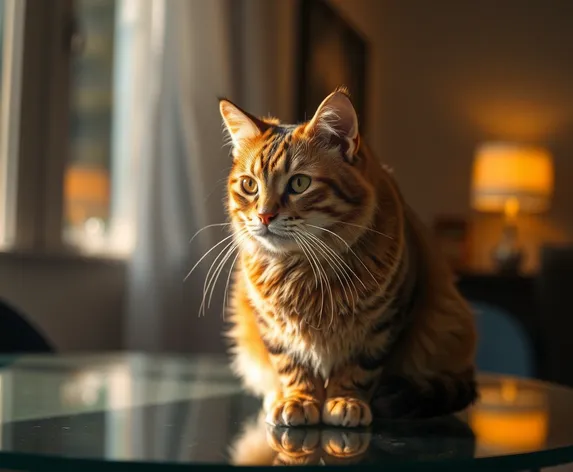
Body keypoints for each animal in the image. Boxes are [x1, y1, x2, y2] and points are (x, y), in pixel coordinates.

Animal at [217, 85, 476, 428]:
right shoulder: (272, 326)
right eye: (249, 185)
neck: (303, 269)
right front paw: (298, 399)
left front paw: (345, 400)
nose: (264, 215)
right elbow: (291, 366)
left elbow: (360, 368)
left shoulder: (385, 321)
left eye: (299, 183)